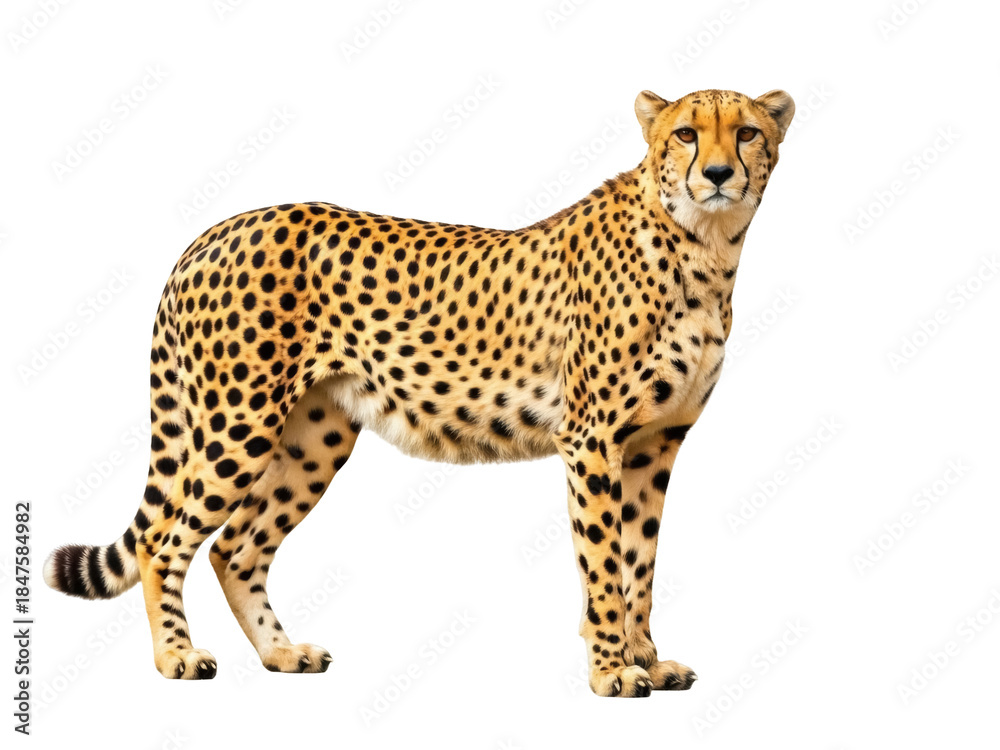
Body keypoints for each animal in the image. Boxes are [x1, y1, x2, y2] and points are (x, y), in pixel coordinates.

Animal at [45, 87, 794, 697]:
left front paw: (647, 659)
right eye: (687, 133)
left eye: (746, 133)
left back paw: (282, 654)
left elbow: (641, 560)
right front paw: (613, 670)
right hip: (239, 423)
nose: (719, 174)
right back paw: (176, 658)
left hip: (314, 439)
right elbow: (605, 565)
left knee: (237, 547)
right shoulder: (592, 440)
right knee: (163, 542)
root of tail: (217, 228)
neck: (705, 244)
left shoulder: (653, 443)